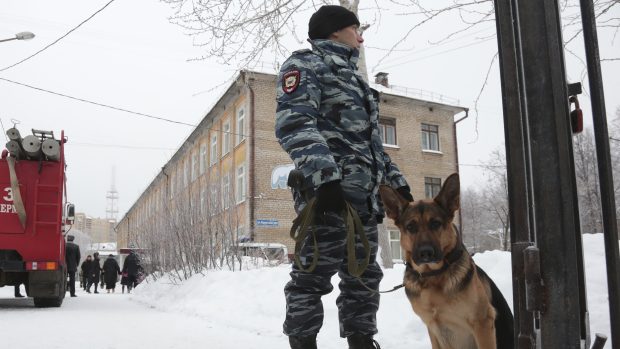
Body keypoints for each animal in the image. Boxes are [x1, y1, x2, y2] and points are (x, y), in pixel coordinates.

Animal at [378, 174, 512, 348]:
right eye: (411, 227)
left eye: (436, 223)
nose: (425, 253)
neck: (432, 276)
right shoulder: (432, 328)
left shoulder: (482, 322)